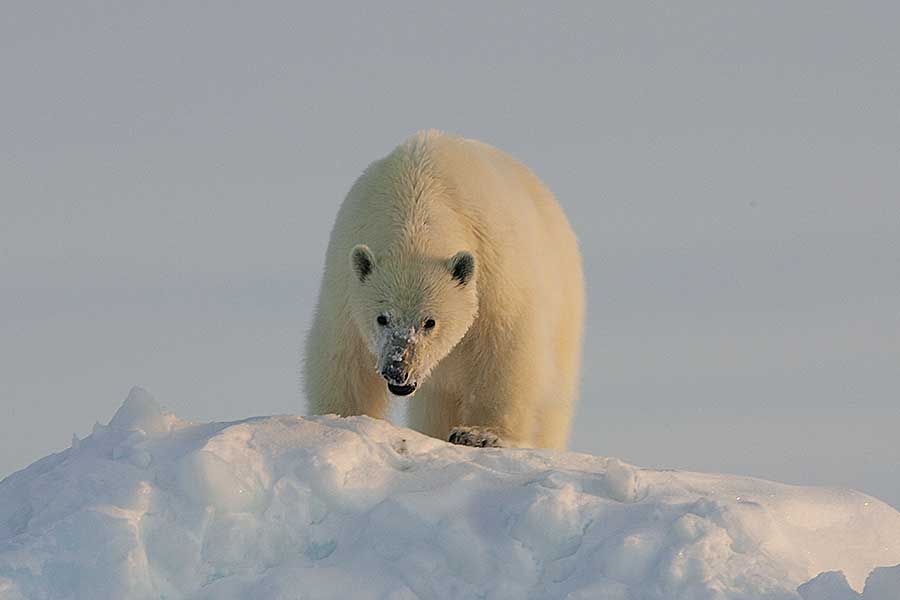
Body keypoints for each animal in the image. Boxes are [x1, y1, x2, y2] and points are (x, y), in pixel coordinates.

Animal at [302, 132, 584, 450]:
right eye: (382, 318)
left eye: (430, 321)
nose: (398, 370)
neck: (416, 191)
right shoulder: (345, 276)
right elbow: (343, 352)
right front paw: (340, 419)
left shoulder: (495, 272)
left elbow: (506, 348)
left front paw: (479, 434)